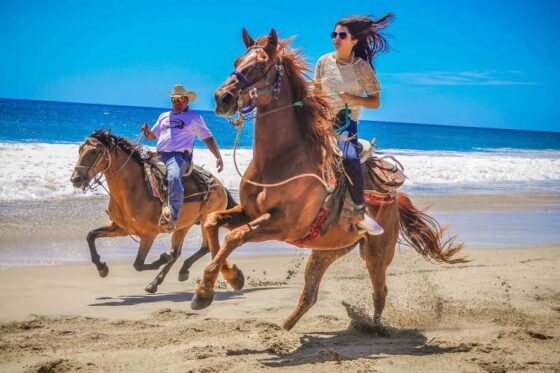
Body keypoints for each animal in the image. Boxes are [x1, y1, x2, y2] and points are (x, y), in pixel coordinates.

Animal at [70, 131, 234, 294]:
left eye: (94, 151)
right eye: (79, 150)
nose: (75, 179)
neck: (134, 189)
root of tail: (220, 186)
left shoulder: (149, 235)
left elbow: (138, 264)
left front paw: (161, 259)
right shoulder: (121, 228)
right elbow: (91, 235)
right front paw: (101, 268)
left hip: (204, 219)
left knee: (201, 248)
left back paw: (169, 274)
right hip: (183, 226)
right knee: (178, 252)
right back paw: (168, 277)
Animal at [190, 29, 466, 332]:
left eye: (261, 64)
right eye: (237, 61)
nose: (223, 98)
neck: (278, 160)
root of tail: (396, 199)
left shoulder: (283, 224)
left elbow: (235, 236)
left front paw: (205, 290)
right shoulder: (249, 212)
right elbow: (212, 222)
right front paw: (231, 276)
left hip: (377, 253)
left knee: (379, 292)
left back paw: (375, 328)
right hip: (327, 250)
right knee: (310, 294)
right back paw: (285, 327)